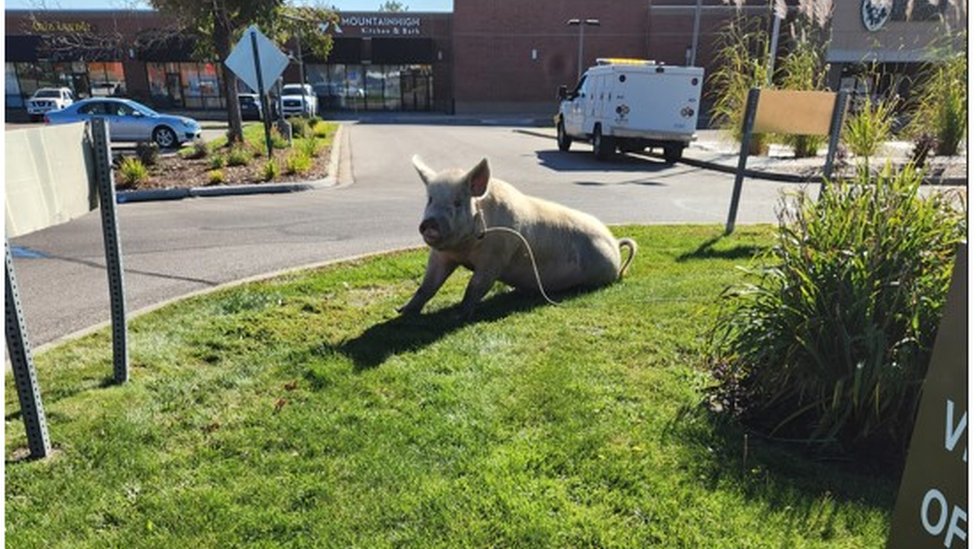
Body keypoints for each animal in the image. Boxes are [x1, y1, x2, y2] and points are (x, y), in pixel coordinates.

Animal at [400, 154, 636, 316]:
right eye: (430, 199)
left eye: (457, 202)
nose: (429, 223)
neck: (464, 250)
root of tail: (615, 242)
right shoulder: (441, 256)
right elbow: (427, 286)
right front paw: (401, 311)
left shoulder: (495, 258)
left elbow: (475, 287)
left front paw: (458, 316)